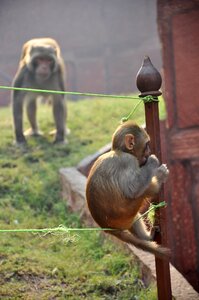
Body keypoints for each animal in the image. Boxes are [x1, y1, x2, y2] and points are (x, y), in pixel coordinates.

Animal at [86, 120, 170, 258]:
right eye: (146, 145)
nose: (149, 152)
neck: (120, 151)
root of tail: (109, 229)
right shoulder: (129, 161)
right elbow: (133, 190)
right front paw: (152, 162)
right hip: (127, 212)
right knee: (140, 192)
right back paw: (158, 180)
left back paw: (148, 237)